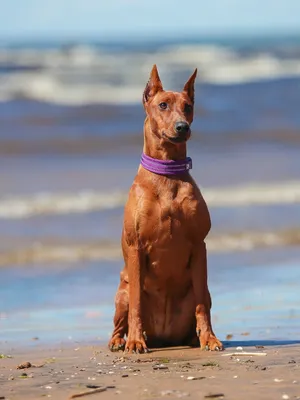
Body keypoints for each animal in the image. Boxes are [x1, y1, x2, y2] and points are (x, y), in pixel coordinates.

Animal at [108, 65, 223, 354]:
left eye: (188, 107)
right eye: (162, 105)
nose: (182, 127)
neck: (167, 173)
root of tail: (165, 337)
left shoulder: (199, 245)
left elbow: (202, 306)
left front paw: (209, 338)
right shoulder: (136, 247)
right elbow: (137, 303)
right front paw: (135, 341)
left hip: (202, 292)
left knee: (202, 301)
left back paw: (195, 337)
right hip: (121, 292)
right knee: (121, 317)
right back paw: (120, 340)